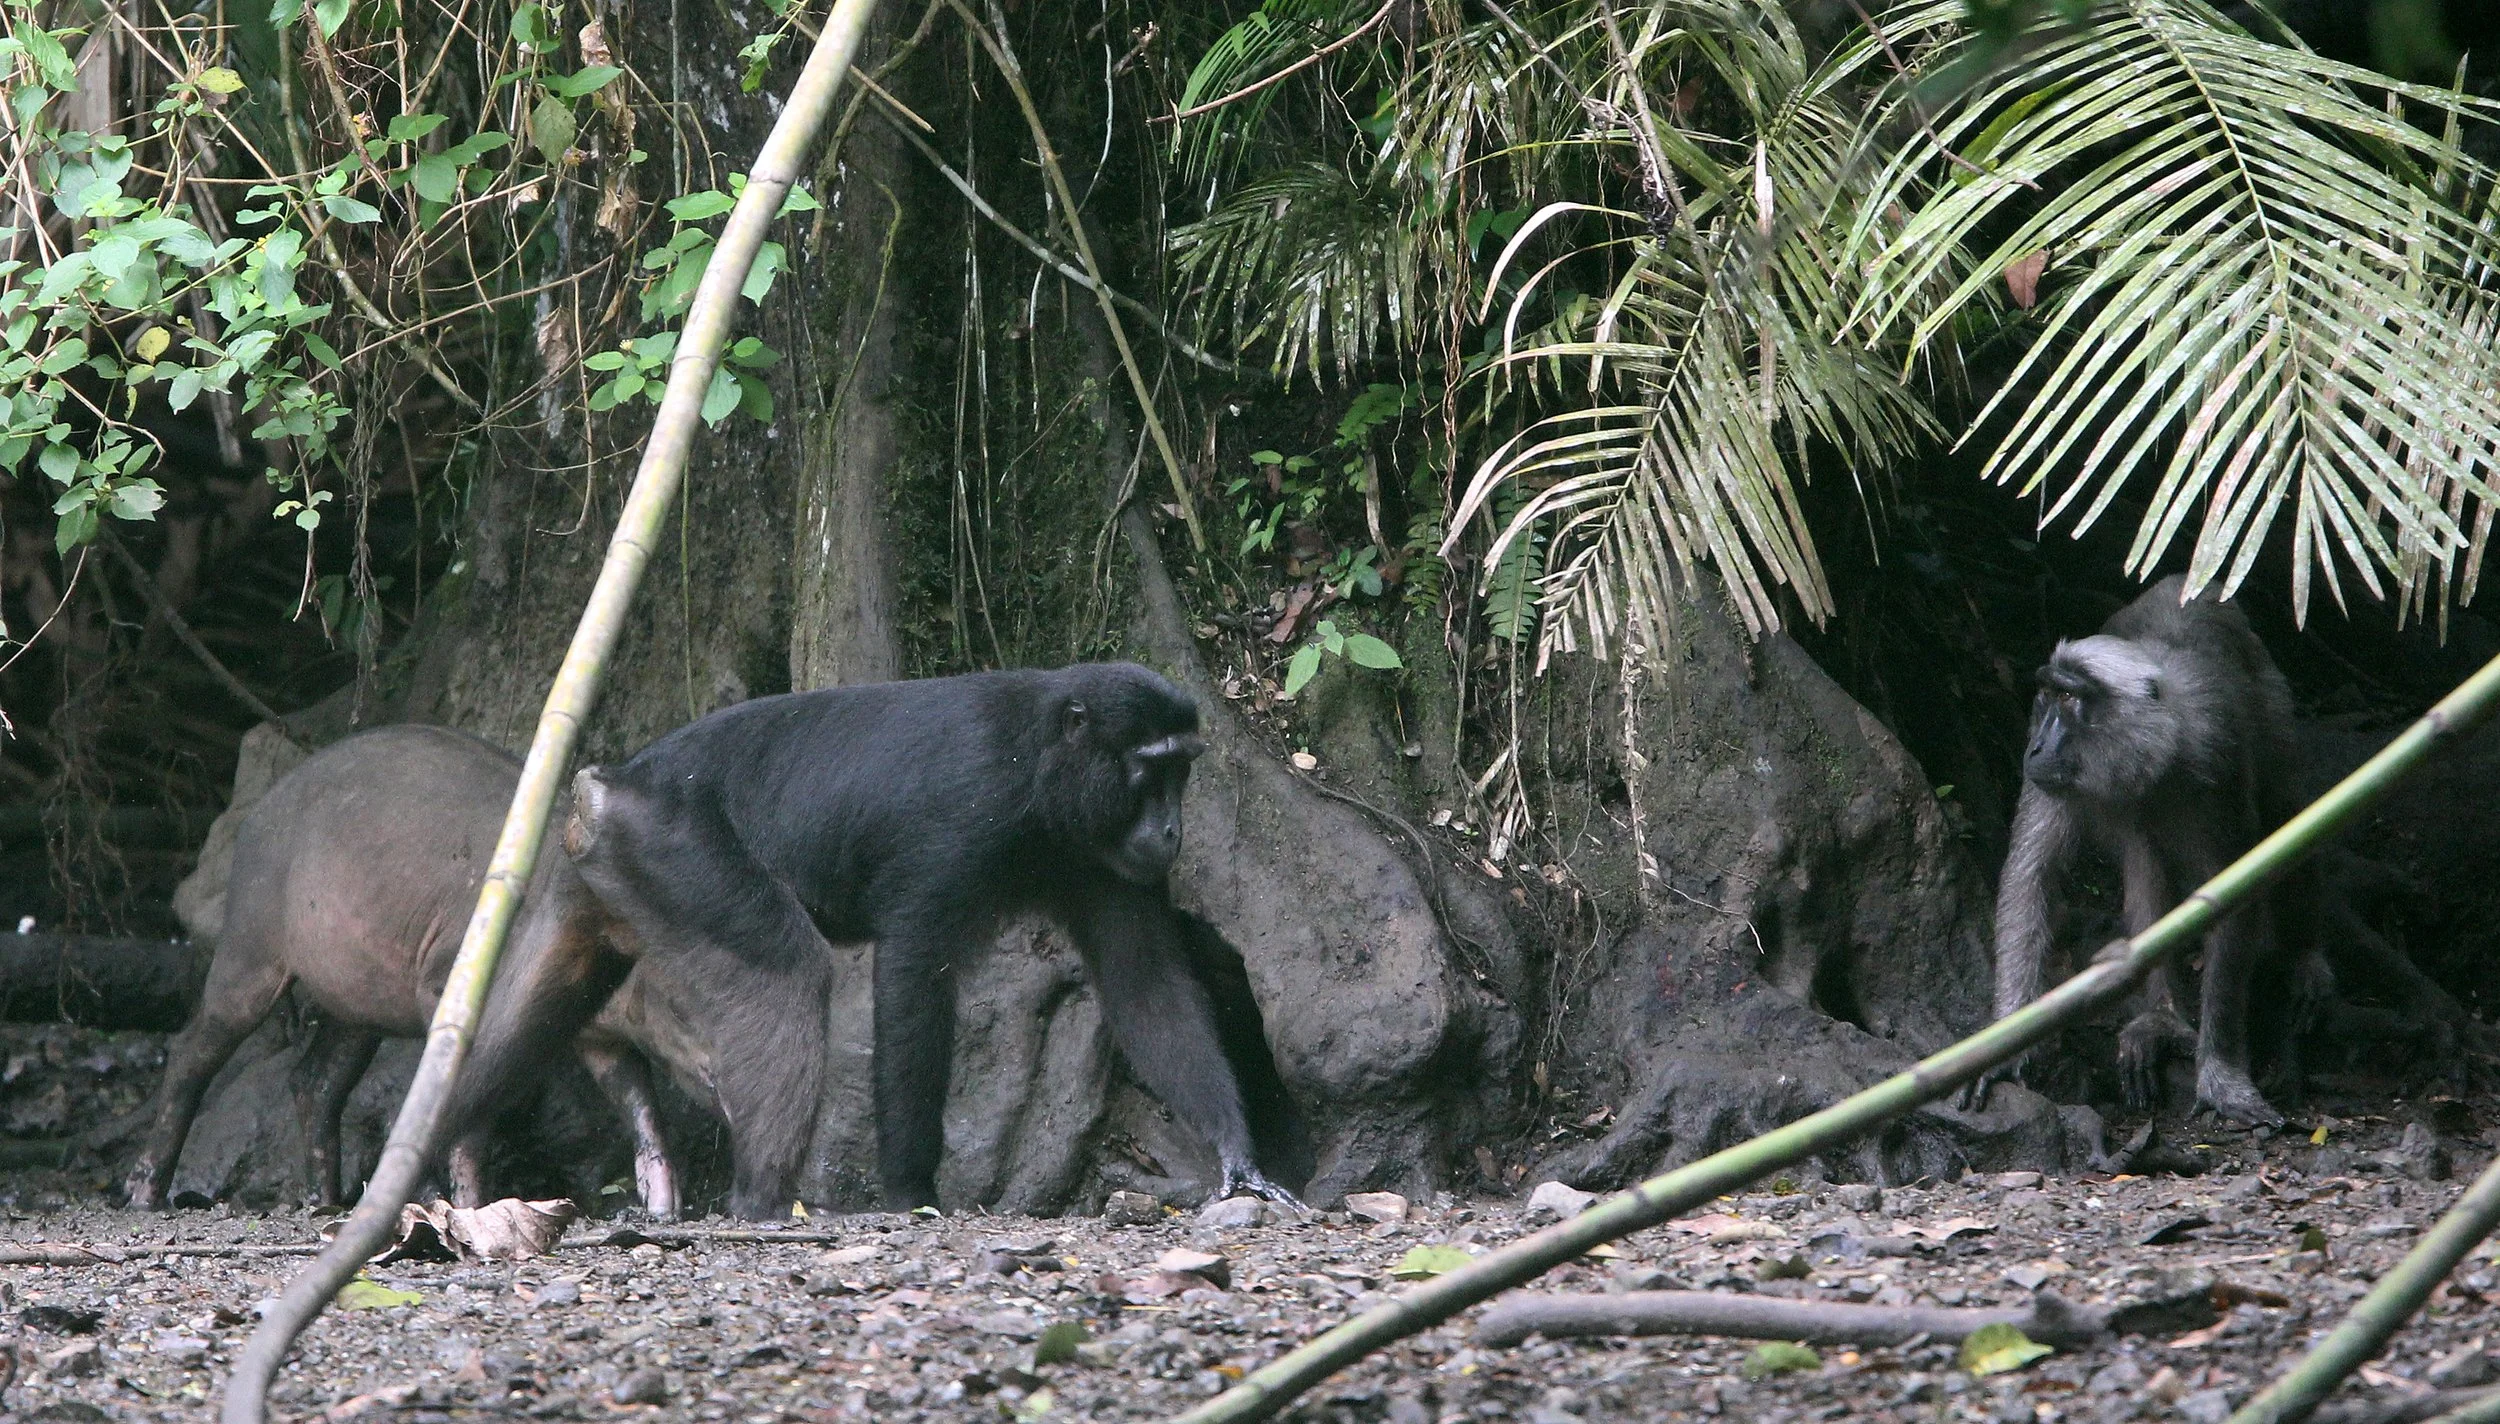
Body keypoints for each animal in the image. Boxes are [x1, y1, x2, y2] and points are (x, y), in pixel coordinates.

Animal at [122, 725, 681, 1217]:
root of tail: (255, 810)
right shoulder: (446, 985)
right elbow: (470, 1105)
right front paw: (470, 1205)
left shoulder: (593, 1025)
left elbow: (637, 1094)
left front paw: (663, 1206)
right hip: (252, 942)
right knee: (193, 1047)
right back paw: (145, 1194)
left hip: (355, 994)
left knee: (315, 1080)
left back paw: (325, 1199)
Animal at [560, 661, 1304, 1219]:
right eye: (1150, 772)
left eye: (1181, 772)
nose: (1173, 829)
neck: (1037, 768)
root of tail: (622, 780)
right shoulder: (962, 821)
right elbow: (913, 978)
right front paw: (911, 1190)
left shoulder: (1101, 858)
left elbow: (1145, 983)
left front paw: (1238, 1156)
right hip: (668, 840)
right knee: (788, 968)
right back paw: (758, 1200)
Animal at [1973, 575, 2321, 1126]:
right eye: (2048, 696)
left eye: (2070, 699)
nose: (2035, 748)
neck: (2151, 754)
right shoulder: (2051, 777)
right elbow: (2032, 878)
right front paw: (2008, 1045)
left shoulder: (2217, 755)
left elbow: (2233, 898)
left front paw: (2221, 1073)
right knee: (2145, 859)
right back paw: (2163, 1019)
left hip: (2272, 702)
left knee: (2288, 801)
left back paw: (2305, 955)